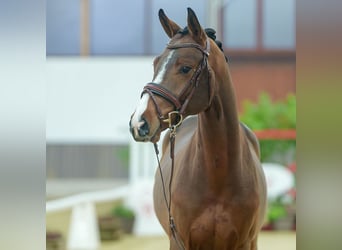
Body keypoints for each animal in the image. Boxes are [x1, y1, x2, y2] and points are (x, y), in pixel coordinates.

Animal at [130, 8, 266, 250]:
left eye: (185, 68)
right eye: (155, 64)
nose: (139, 122)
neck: (217, 175)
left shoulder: (244, 243)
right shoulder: (179, 241)